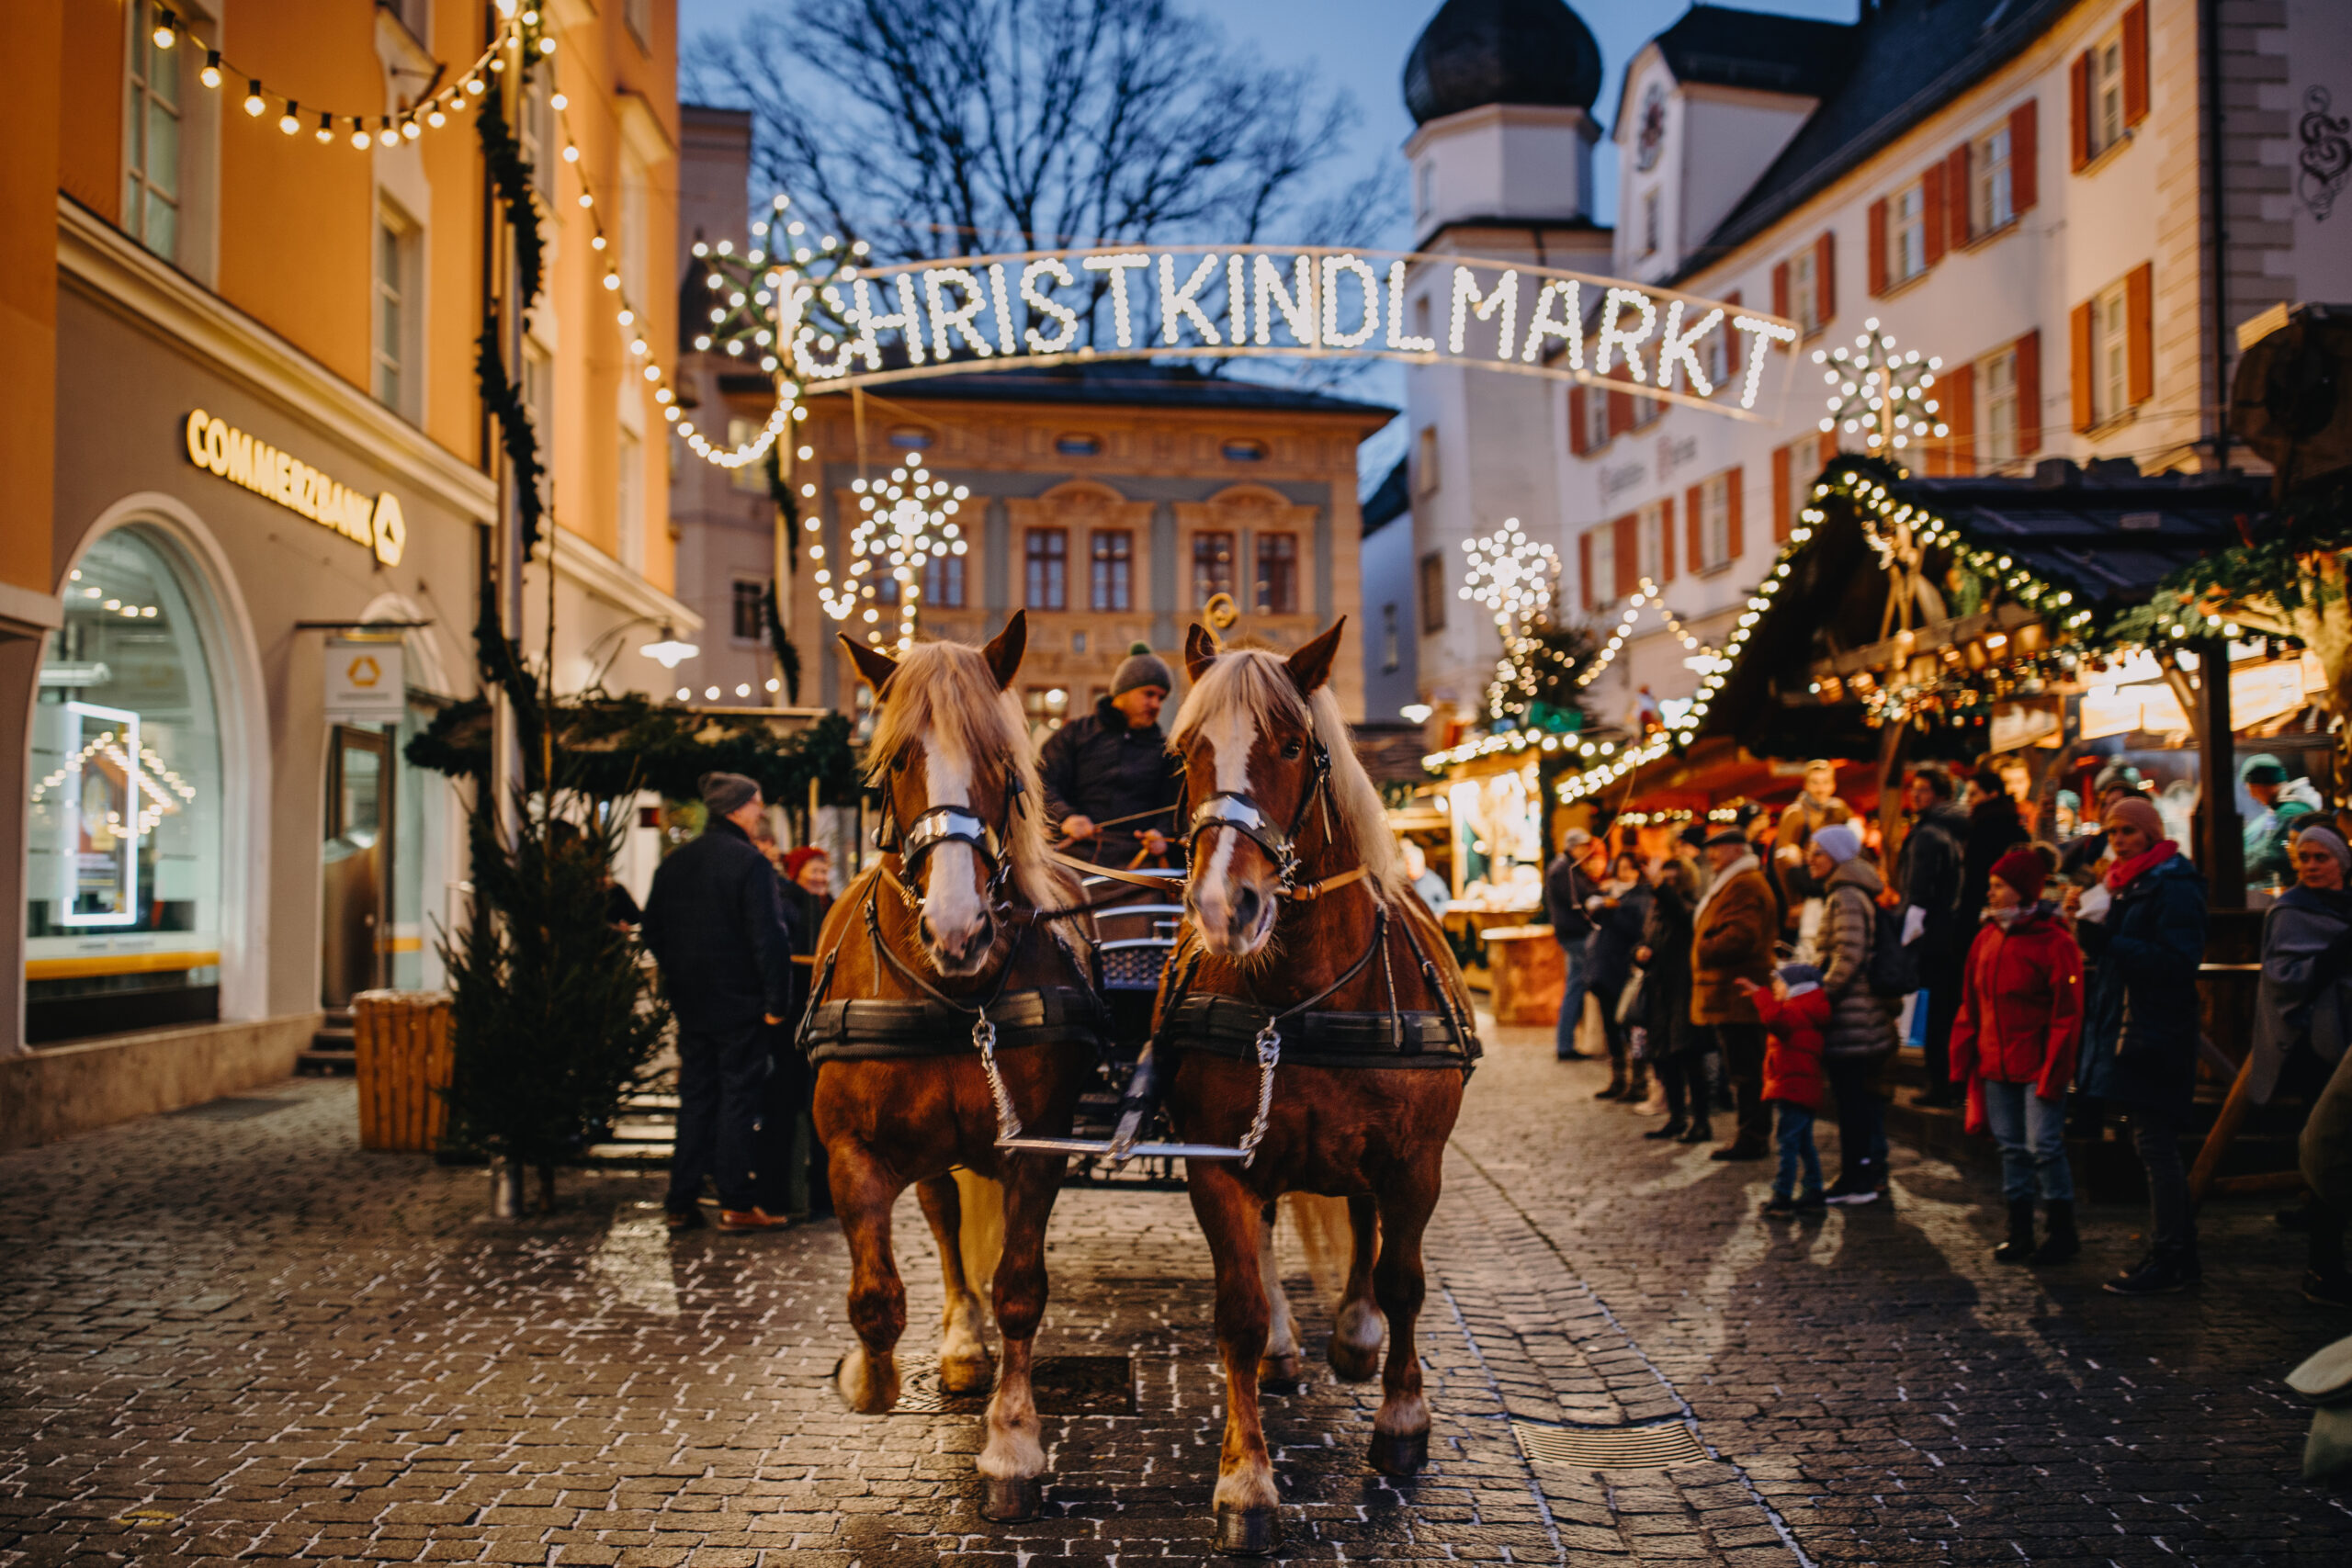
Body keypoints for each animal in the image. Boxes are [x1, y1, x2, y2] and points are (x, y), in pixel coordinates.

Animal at [808, 611, 1101, 1523]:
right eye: (898, 757)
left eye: (1004, 760)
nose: (958, 926)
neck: (950, 992)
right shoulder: (849, 1150)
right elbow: (876, 1296)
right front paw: (868, 1376)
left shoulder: (1037, 1146)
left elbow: (1020, 1288)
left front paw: (1012, 1443)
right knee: (940, 1216)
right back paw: (961, 1341)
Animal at [1152, 620, 1467, 1561]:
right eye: (1185, 749)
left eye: (1294, 745)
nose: (1227, 905)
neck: (1304, 993)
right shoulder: (1217, 1161)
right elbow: (1241, 1308)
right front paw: (1246, 1479)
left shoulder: (1415, 1163)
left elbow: (1404, 1281)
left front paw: (1403, 1420)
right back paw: (1293, 1350)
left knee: (1364, 1231)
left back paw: (1356, 1334)